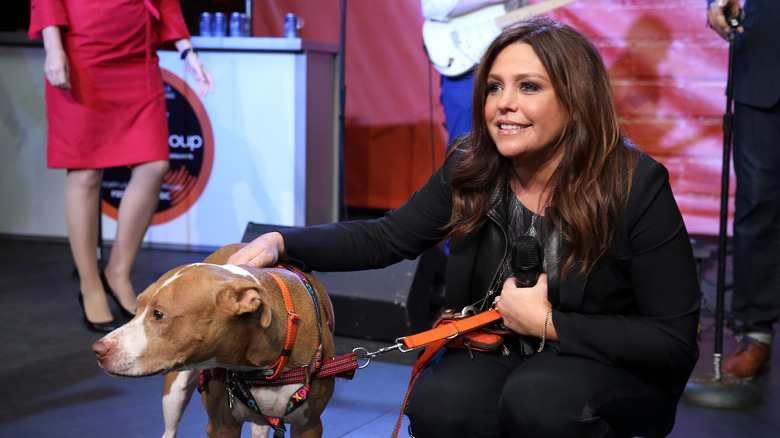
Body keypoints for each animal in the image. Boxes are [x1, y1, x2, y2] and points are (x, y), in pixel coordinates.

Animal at [92, 245, 336, 436]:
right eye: (137, 307)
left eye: (158, 314)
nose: (98, 349)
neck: (262, 369)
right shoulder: (222, 427)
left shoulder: (309, 427)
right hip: (174, 392)